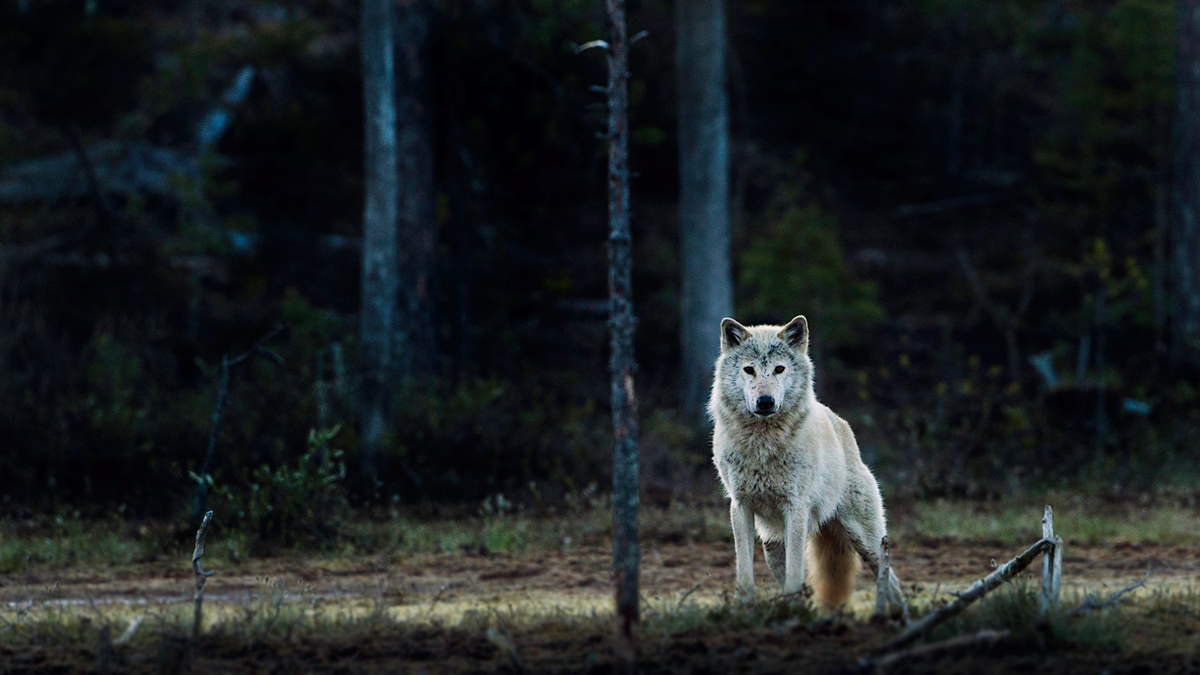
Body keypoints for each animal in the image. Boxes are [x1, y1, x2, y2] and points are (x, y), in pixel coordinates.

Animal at [709, 315, 903, 607]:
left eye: (779, 369)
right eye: (749, 370)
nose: (765, 401)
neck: (762, 444)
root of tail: (842, 424)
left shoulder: (796, 508)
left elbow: (795, 572)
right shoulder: (740, 507)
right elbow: (744, 571)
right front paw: (746, 606)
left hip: (867, 541)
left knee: (891, 580)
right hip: (771, 545)